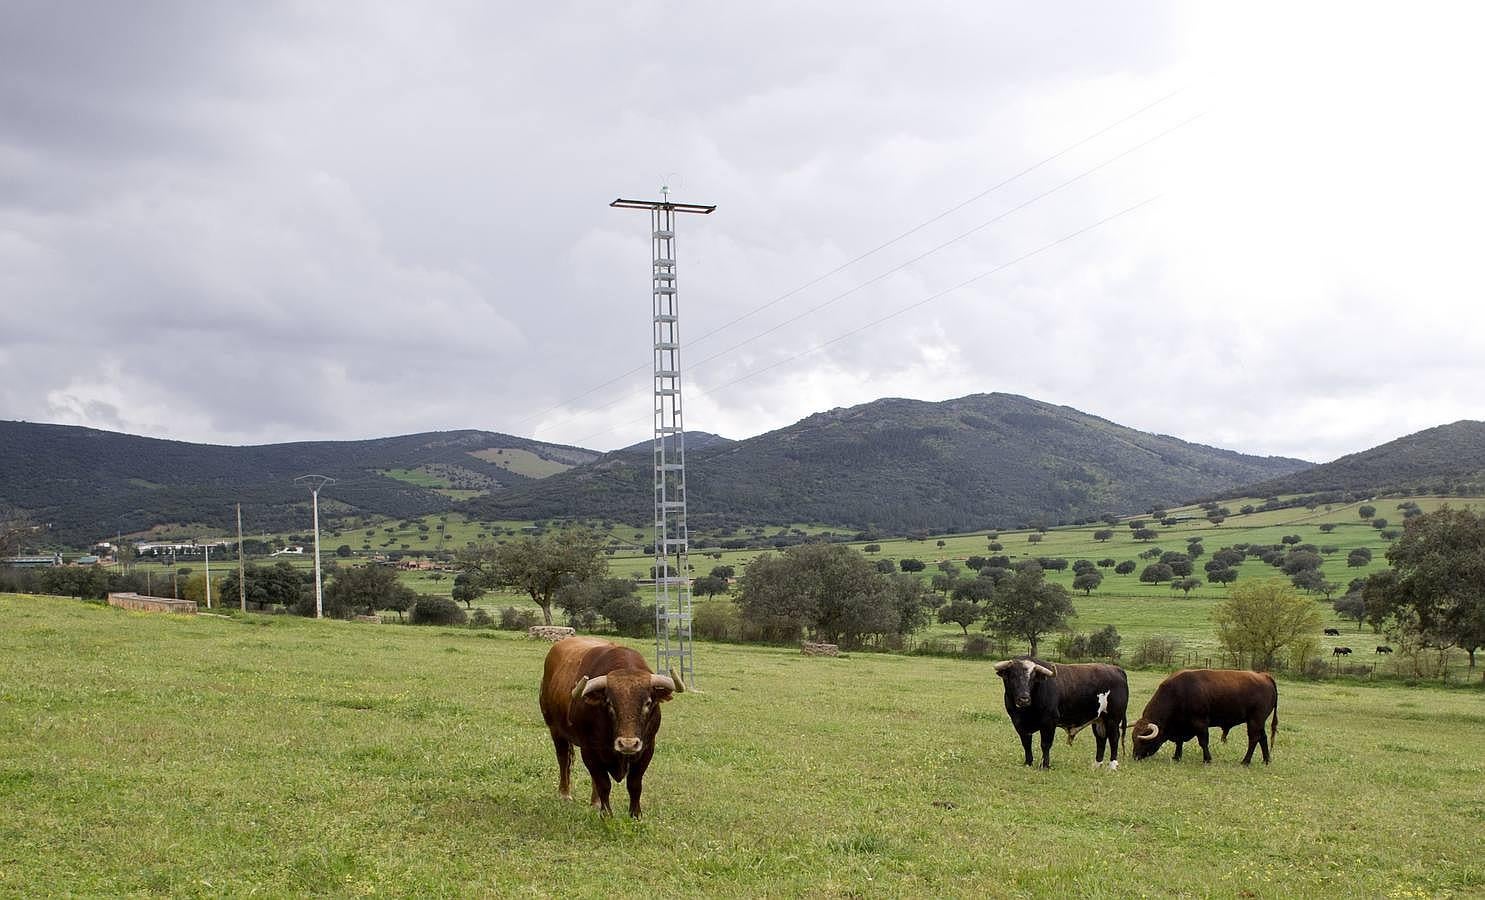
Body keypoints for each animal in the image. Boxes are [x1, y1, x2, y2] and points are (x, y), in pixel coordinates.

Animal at [537, 638, 680, 819]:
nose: (627, 744)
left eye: (648, 703)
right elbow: (603, 783)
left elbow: (634, 784)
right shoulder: (589, 750)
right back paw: (565, 793)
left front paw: (635, 815)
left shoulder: (647, 749)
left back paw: (595, 801)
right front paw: (606, 814)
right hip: (555, 730)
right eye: (609, 703)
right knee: (564, 760)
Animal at [991, 659, 1128, 772]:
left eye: (1033, 678)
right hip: (1099, 719)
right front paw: (1028, 763)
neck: (1026, 711)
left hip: (1113, 719)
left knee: (1114, 738)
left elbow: (1045, 744)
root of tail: (1116, 669)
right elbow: (1026, 744)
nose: (1024, 699)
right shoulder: (1018, 723)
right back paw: (1096, 765)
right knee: (1100, 739)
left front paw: (1045, 765)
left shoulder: (1049, 722)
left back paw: (1112, 766)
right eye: (1012, 676)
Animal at [1128, 671, 1283, 766]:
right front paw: (1176, 757)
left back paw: (1245, 761)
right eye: (1133, 739)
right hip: (1259, 722)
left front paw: (1207, 760)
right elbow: (1179, 742)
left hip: (1254, 721)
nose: (1135, 756)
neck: (1178, 693)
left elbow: (1203, 742)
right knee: (1263, 738)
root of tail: (1264, 675)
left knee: (1254, 739)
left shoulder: (1200, 723)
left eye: (1143, 740)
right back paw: (1266, 760)